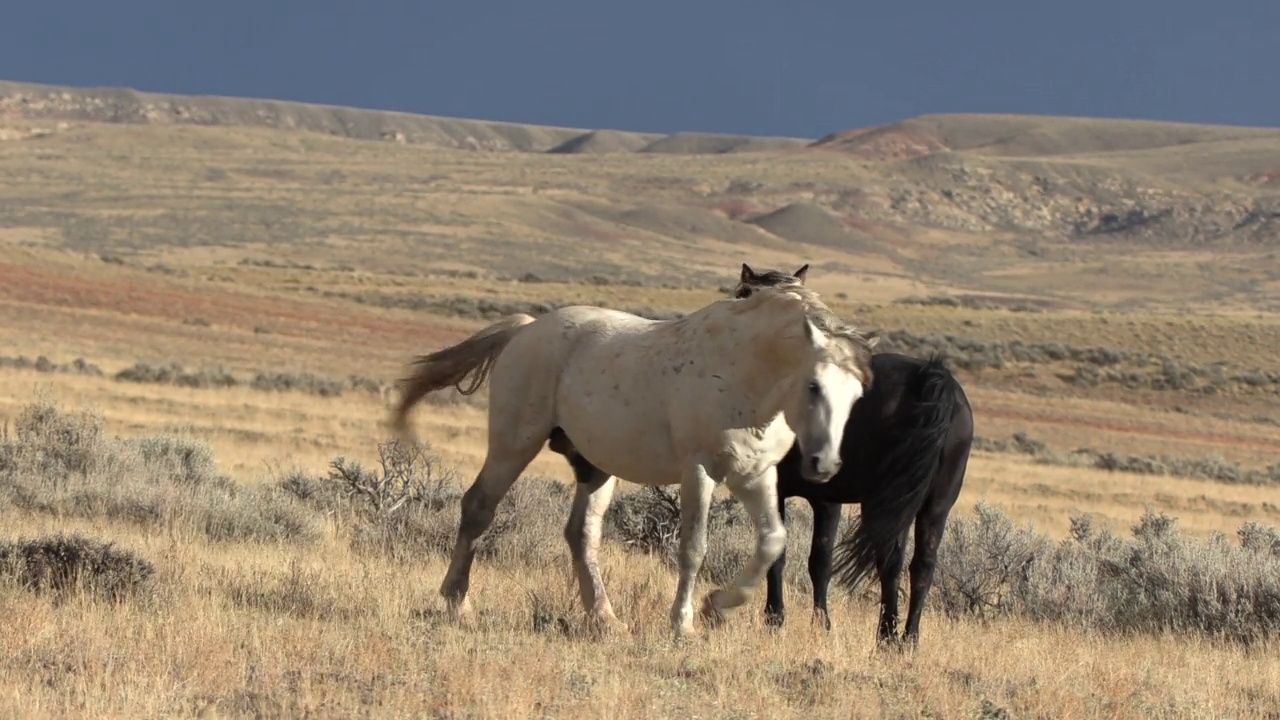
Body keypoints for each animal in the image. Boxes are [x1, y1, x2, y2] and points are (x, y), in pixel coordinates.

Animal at [384, 283, 875, 635]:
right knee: (478, 507)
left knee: (581, 534)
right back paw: (458, 601)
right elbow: (693, 548)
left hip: (595, 466)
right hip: (514, 443)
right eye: (814, 385)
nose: (823, 466)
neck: (744, 374)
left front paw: (717, 607)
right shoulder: (699, 471)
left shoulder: (755, 476)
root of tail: (526, 329)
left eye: (856, 395)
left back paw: (605, 618)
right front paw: (683, 624)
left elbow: (772, 542)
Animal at [547, 263, 967, 645]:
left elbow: (790, 556)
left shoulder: (801, 492)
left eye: (742, 294)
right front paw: (813, 623)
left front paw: (777, 617)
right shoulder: (823, 498)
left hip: (889, 503)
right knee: (921, 565)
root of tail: (934, 379)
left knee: (892, 559)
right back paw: (907, 636)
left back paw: (889, 634)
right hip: (933, 506)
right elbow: (813, 559)